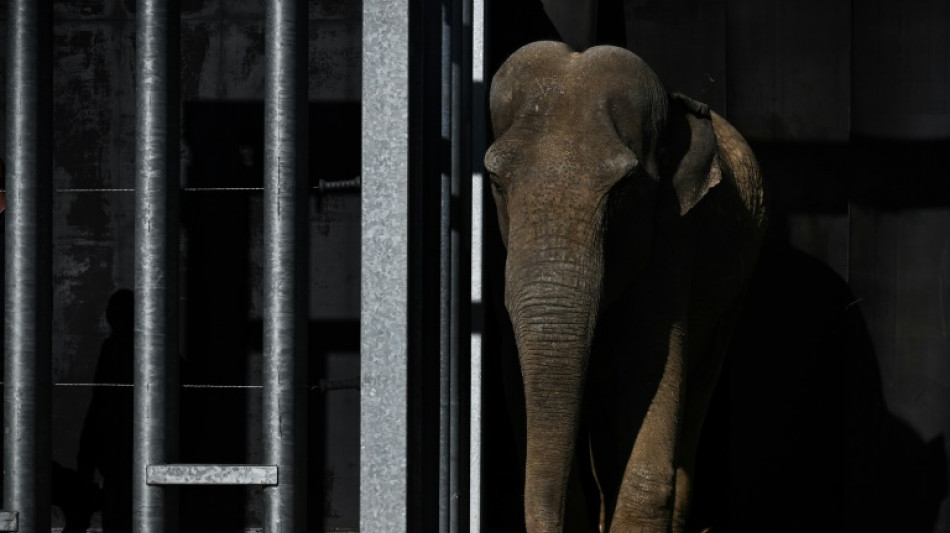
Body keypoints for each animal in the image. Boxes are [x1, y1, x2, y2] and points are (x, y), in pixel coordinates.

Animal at [484, 41, 767, 532]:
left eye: (624, 190)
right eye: (497, 182)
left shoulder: (675, 237)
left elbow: (653, 360)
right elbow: (516, 376)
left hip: (736, 292)